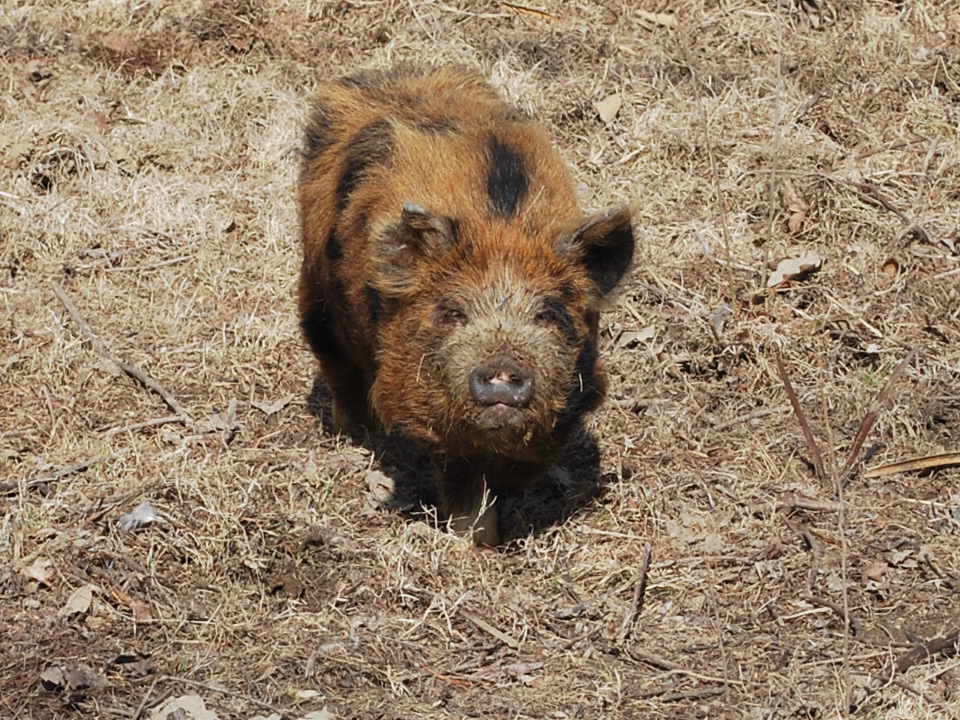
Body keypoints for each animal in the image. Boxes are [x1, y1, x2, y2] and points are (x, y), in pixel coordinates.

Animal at [298, 66, 634, 545]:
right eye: (455, 313)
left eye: (546, 314)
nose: (502, 367)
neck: (502, 221)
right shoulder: (418, 392)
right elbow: (460, 469)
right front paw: (476, 541)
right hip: (316, 288)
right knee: (333, 359)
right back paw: (357, 433)